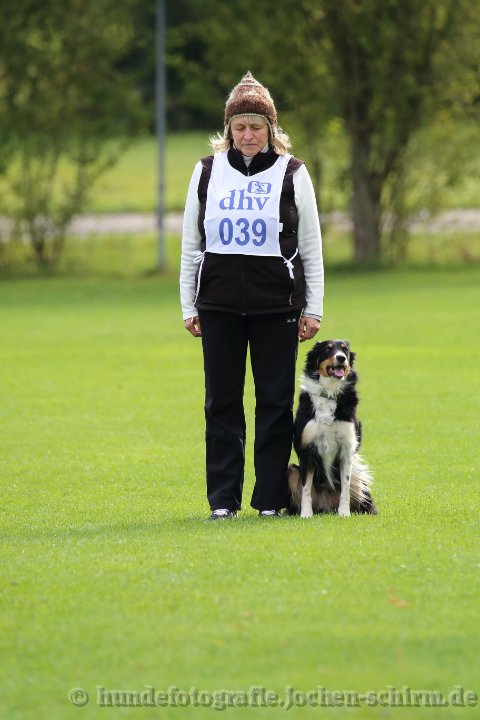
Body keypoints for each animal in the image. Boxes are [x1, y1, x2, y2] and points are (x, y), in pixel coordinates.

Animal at [287, 340, 377, 517]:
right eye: (328, 349)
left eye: (345, 350)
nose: (341, 358)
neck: (329, 392)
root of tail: (326, 508)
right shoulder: (307, 450)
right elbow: (306, 487)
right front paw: (306, 514)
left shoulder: (347, 449)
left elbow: (346, 486)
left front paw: (344, 513)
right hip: (292, 470)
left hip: (359, 480)